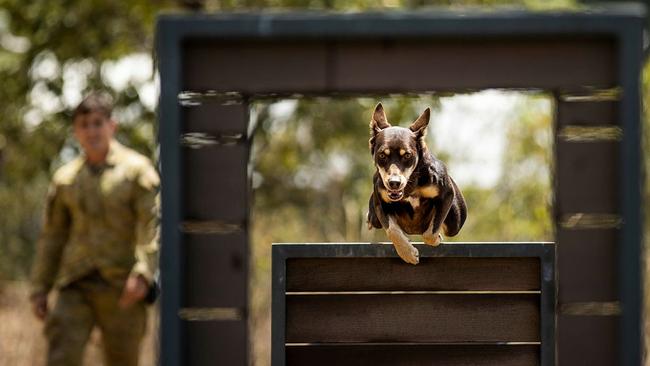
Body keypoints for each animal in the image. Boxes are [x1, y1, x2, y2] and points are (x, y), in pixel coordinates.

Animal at [364, 102, 466, 264]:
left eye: (407, 155)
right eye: (382, 155)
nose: (394, 183)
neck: (410, 186)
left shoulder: (447, 194)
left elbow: (430, 232)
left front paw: (435, 238)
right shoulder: (381, 203)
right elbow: (392, 230)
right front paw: (407, 253)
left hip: (454, 223)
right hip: (375, 217)